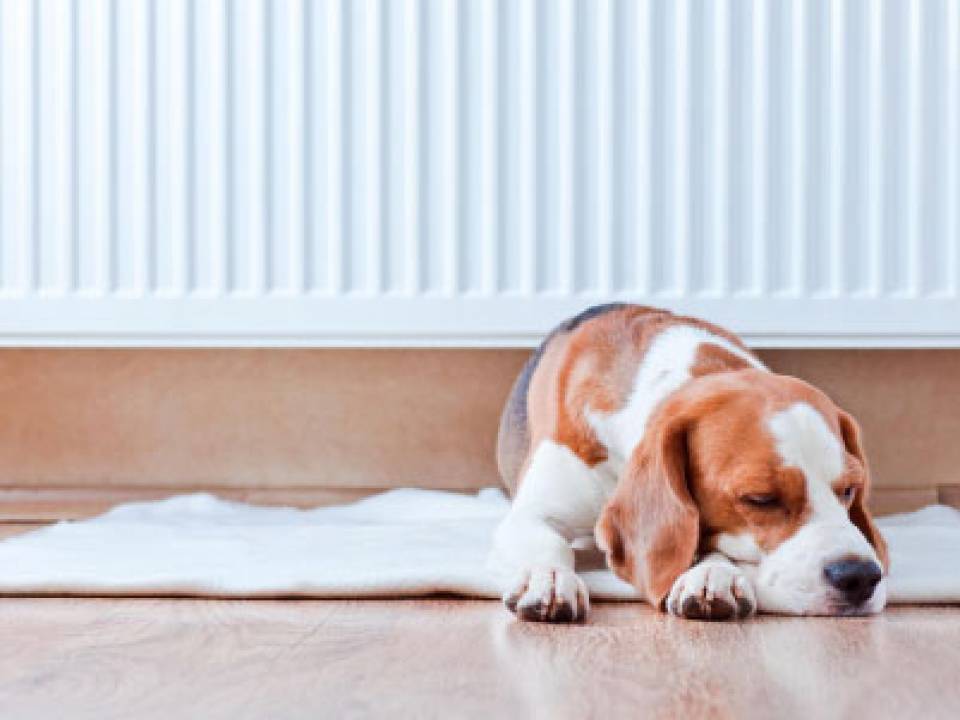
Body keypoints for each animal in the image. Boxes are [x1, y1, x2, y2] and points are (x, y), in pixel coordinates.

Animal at [492, 300, 888, 620]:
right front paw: (548, 577)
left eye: (850, 489)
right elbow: (549, 544)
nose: (860, 577)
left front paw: (714, 574)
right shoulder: (532, 514)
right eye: (760, 499)